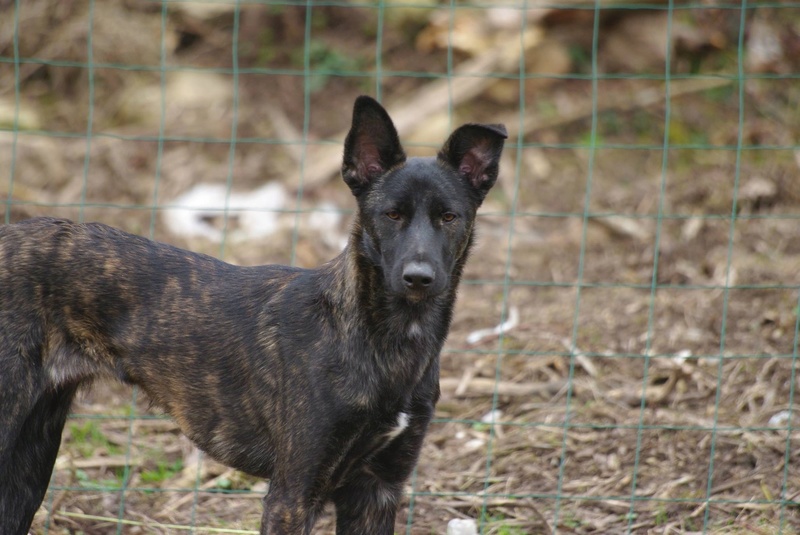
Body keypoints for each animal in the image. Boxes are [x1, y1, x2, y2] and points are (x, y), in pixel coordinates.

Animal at [0, 97, 506, 535]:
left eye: (449, 217)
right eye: (391, 214)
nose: (418, 277)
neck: (384, 337)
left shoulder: (378, 490)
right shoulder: (293, 495)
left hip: (32, 458)